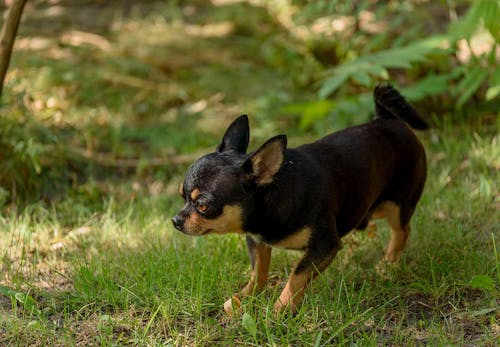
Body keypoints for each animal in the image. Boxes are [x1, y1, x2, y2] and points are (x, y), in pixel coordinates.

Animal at [171, 85, 426, 316]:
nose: (175, 220)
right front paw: (245, 297)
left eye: (203, 205)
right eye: (182, 196)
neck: (272, 198)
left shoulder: (324, 246)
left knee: (402, 230)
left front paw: (281, 308)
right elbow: (259, 271)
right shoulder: (257, 241)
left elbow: (296, 276)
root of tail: (385, 119)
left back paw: (388, 263)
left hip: (397, 205)